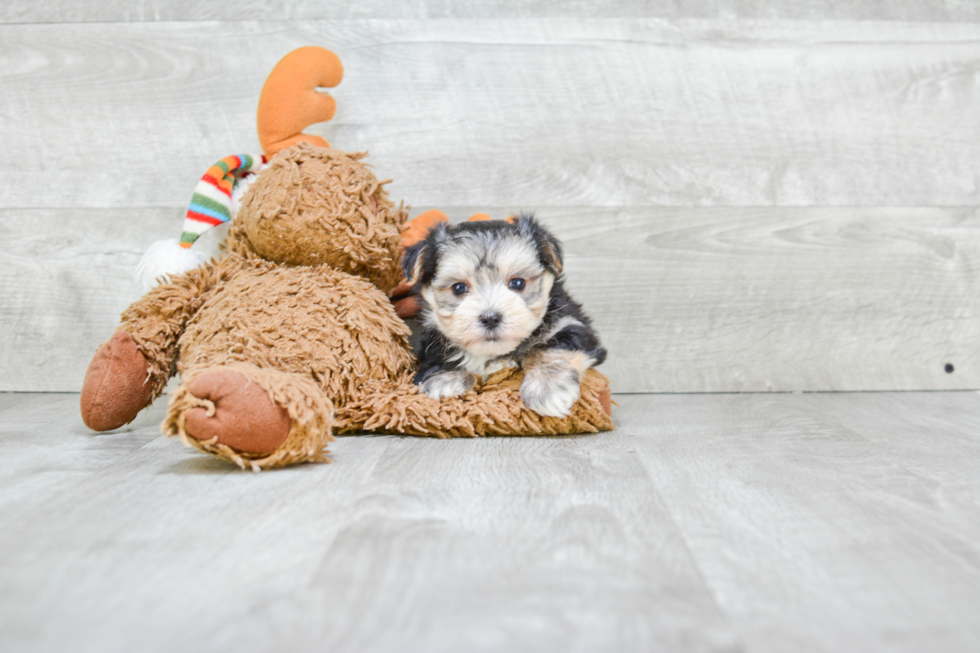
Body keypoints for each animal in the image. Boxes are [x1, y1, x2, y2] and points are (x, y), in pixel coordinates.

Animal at [400, 214, 604, 418]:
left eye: (518, 283)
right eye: (458, 288)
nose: (490, 318)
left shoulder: (571, 322)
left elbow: (550, 349)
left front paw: (547, 388)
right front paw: (445, 378)